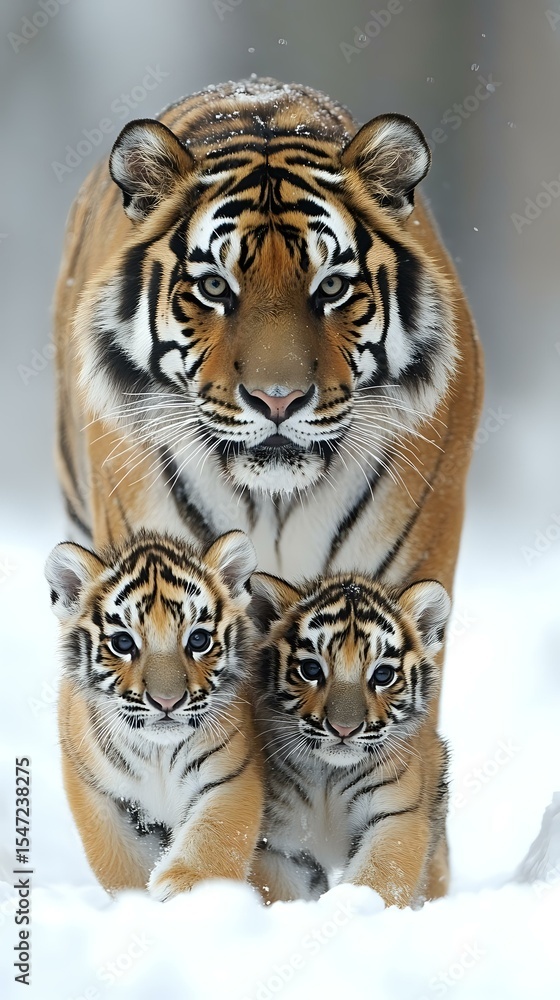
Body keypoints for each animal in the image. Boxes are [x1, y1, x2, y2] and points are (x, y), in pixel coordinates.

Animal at [45, 529, 263, 900]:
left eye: (199, 640)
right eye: (123, 643)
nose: (167, 701)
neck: (159, 754)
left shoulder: (230, 776)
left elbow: (214, 837)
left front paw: (186, 886)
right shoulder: (99, 792)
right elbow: (119, 861)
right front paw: (137, 902)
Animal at [248, 569, 451, 908]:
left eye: (382, 675)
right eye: (311, 669)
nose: (344, 728)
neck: (328, 777)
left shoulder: (395, 816)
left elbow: (376, 881)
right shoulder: (277, 843)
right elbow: (282, 892)